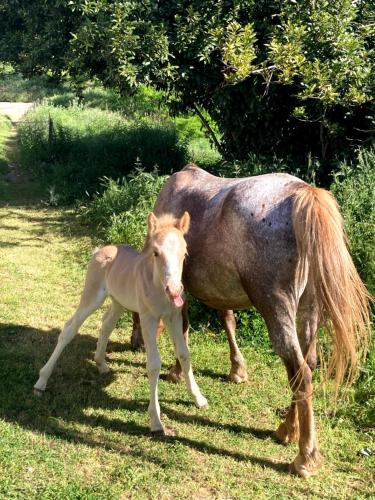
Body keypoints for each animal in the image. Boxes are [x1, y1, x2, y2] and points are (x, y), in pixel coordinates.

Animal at [34, 211, 209, 434]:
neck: (158, 287)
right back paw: (41, 381)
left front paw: (199, 398)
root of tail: (100, 249)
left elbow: (184, 354)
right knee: (69, 328)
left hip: (118, 301)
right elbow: (154, 364)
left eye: (184, 253)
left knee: (106, 324)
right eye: (155, 253)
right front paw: (155, 421)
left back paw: (101, 364)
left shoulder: (174, 316)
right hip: (92, 296)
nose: (174, 290)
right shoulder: (148, 318)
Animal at [133, 165, 374, 476]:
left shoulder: (180, 289)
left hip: (277, 309)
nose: (135, 342)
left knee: (300, 374)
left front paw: (176, 371)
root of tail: (302, 194)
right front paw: (237, 369)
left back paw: (305, 457)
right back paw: (286, 430)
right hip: (309, 310)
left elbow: (182, 330)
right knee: (307, 365)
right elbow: (227, 320)